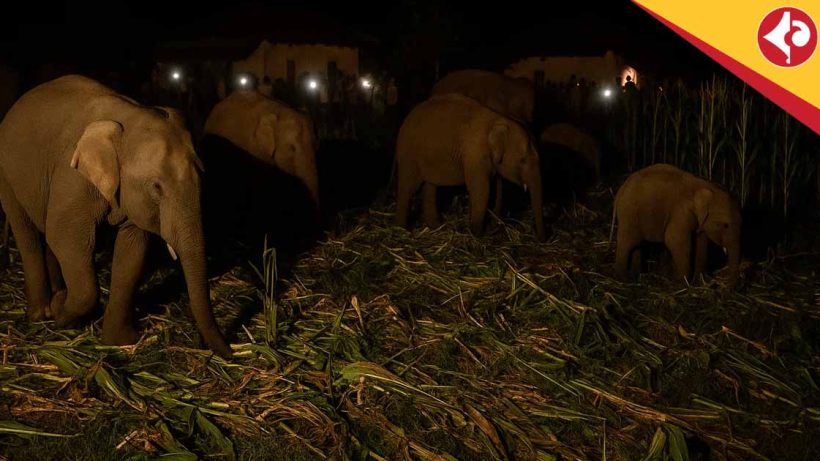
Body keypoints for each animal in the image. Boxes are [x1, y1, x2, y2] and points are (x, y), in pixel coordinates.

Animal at [0, 75, 230, 357]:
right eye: (156, 187)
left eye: (202, 176)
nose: (230, 351)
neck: (128, 118)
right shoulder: (73, 178)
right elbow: (66, 237)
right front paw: (61, 312)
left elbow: (132, 251)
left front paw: (119, 342)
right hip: (6, 174)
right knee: (27, 233)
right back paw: (40, 313)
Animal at [395, 94, 546, 240]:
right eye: (522, 160)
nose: (540, 238)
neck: (499, 120)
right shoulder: (474, 153)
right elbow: (481, 190)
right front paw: (478, 236)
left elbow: (490, 188)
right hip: (408, 155)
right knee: (407, 188)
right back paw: (403, 231)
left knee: (430, 186)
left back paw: (437, 227)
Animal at [612, 164, 742, 287]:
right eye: (725, 225)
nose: (725, 286)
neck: (705, 186)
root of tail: (619, 191)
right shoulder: (681, 212)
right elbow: (674, 240)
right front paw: (681, 283)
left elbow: (701, 242)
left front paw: (698, 281)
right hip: (628, 213)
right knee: (628, 242)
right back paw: (624, 279)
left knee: (637, 244)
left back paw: (636, 275)